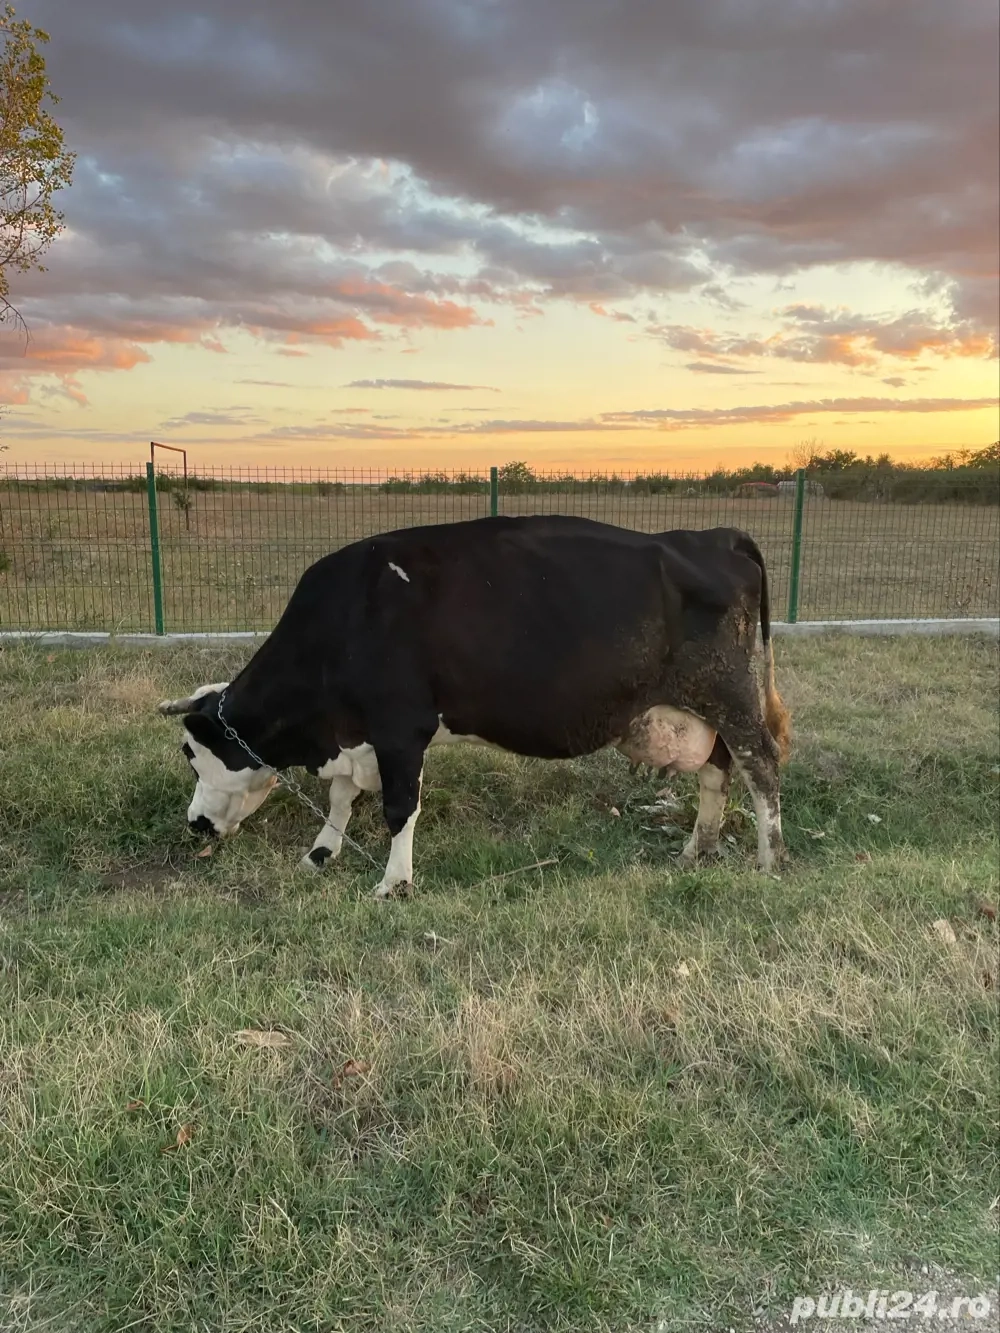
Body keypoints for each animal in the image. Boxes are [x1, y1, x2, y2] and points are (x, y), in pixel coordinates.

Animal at [158, 514, 791, 897]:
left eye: (193, 756)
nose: (194, 824)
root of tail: (711, 534)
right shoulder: (356, 734)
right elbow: (340, 797)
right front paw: (321, 853)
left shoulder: (400, 727)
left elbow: (399, 809)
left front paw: (394, 883)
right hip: (703, 711)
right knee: (717, 772)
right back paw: (696, 850)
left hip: (731, 696)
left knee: (761, 767)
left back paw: (770, 860)